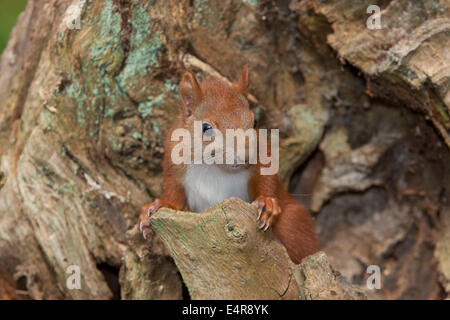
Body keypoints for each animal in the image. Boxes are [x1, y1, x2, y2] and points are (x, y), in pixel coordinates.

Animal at [141, 64, 320, 262]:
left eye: (254, 122)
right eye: (206, 127)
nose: (244, 156)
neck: (214, 167)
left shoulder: (261, 154)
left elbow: (266, 178)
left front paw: (267, 203)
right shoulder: (174, 164)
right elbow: (174, 193)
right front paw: (157, 206)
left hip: (293, 224)